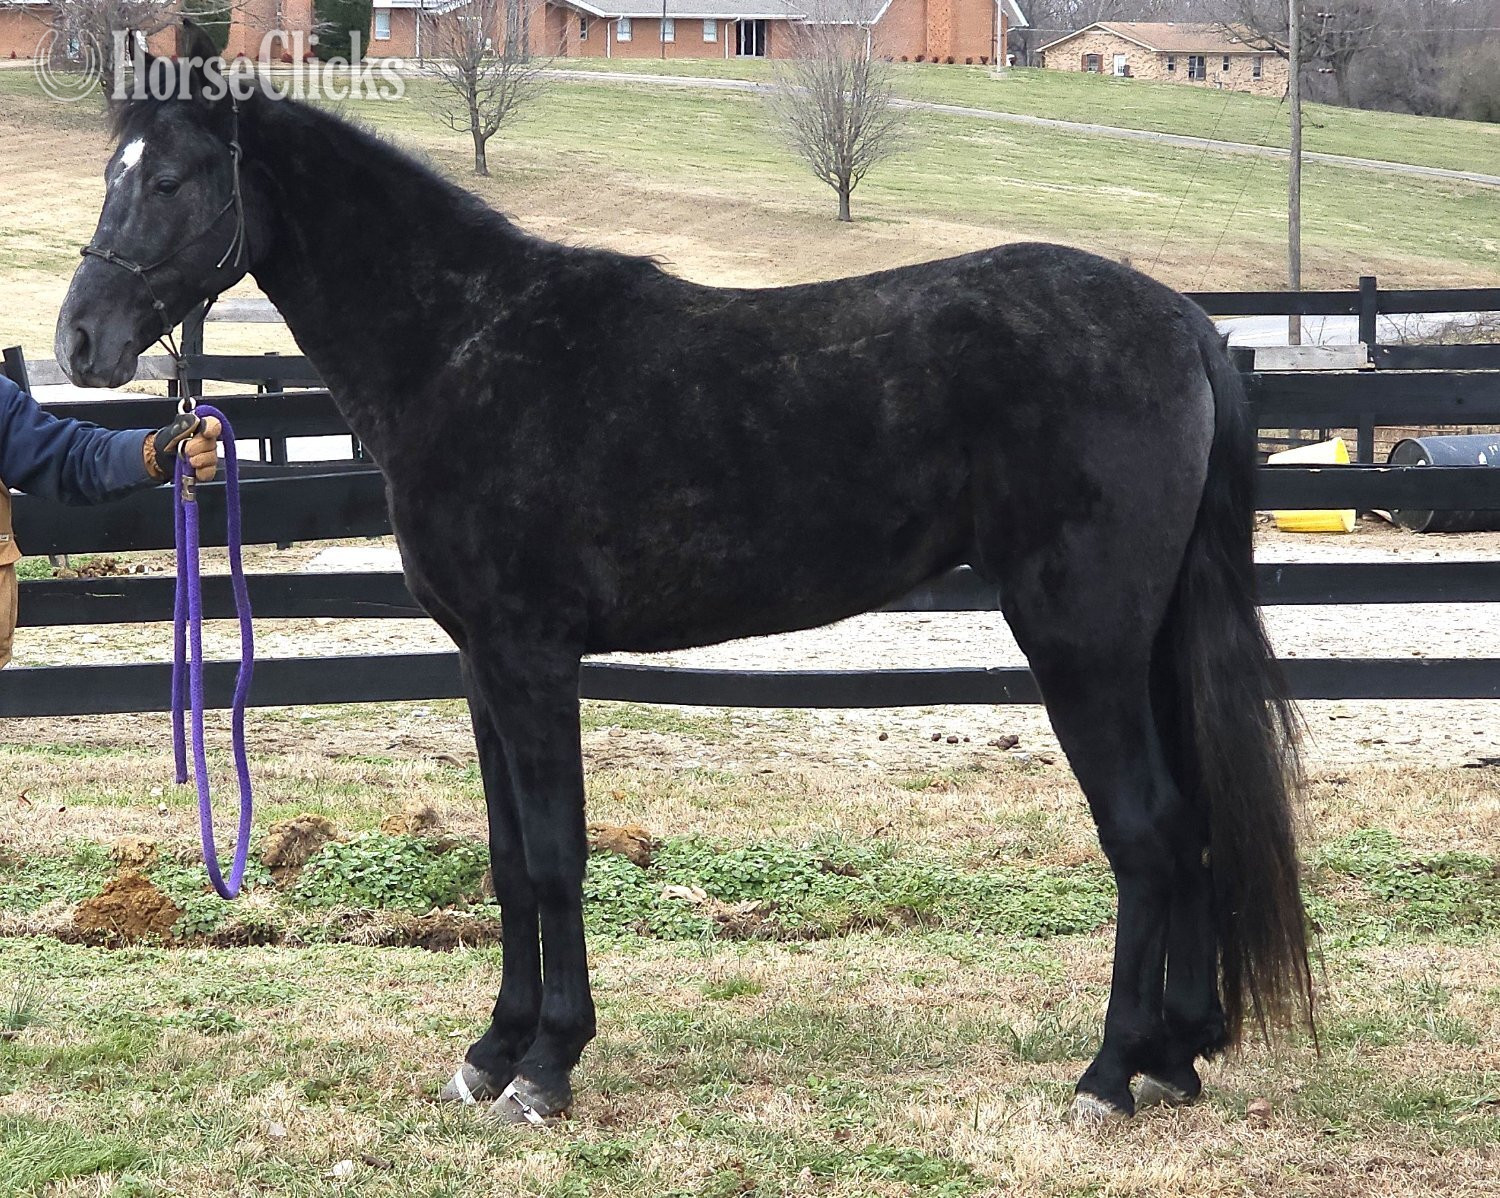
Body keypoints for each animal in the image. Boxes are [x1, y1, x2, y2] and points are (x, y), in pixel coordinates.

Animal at [57, 22, 1311, 1125]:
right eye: (114, 172)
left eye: (169, 180)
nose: (80, 341)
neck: (462, 348)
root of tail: (1185, 326)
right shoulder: (480, 668)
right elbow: (508, 861)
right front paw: (490, 1051)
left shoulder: (532, 659)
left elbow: (555, 856)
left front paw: (546, 1069)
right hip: (1140, 643)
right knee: (1191, 825)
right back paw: (1176, 1057)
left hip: (1081, 644)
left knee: (1147, 833)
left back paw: (1109, 1074)